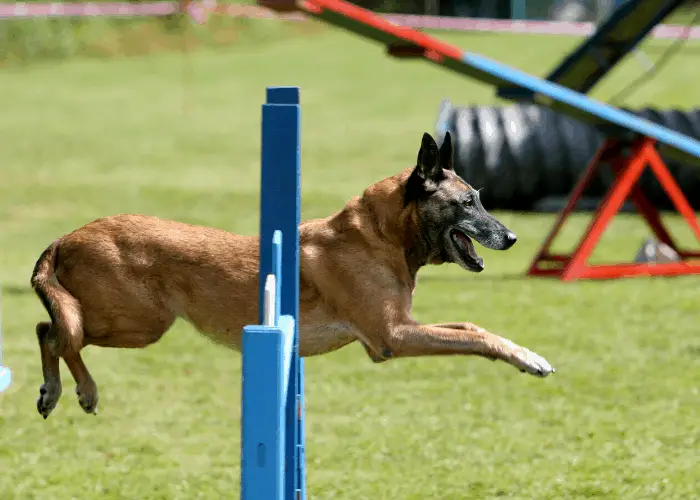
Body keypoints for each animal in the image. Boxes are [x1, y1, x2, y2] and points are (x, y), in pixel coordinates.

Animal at [30, 132, 556, 418]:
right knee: (59, 335)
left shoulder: (401, 327)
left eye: (481, 198)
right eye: (467, 203)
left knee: (47, 328)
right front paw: (530, 360)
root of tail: (65, 239)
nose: (512, 237)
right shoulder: (393, 336)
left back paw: (54, 391)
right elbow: (476, 336)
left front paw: (527, 353)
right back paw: (82, 390)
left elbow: (471, 327)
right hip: (139, 323)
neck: (380, 236)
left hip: (133, 322)